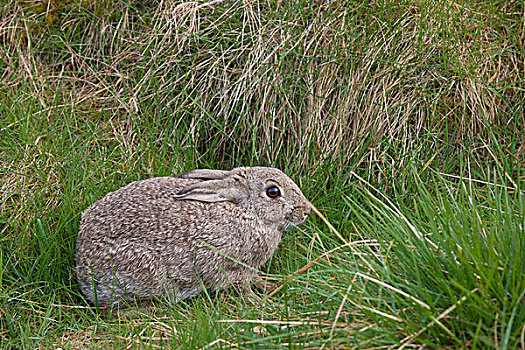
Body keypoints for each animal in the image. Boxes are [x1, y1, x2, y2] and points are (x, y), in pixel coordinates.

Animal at [74, 165, 312, 304]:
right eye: (273, 192)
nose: (306, 211)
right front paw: (261, 302)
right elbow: (241, 287)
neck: (247, 212)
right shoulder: (230, 267)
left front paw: (269, 284)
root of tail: (82, 267)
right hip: (146, 271)